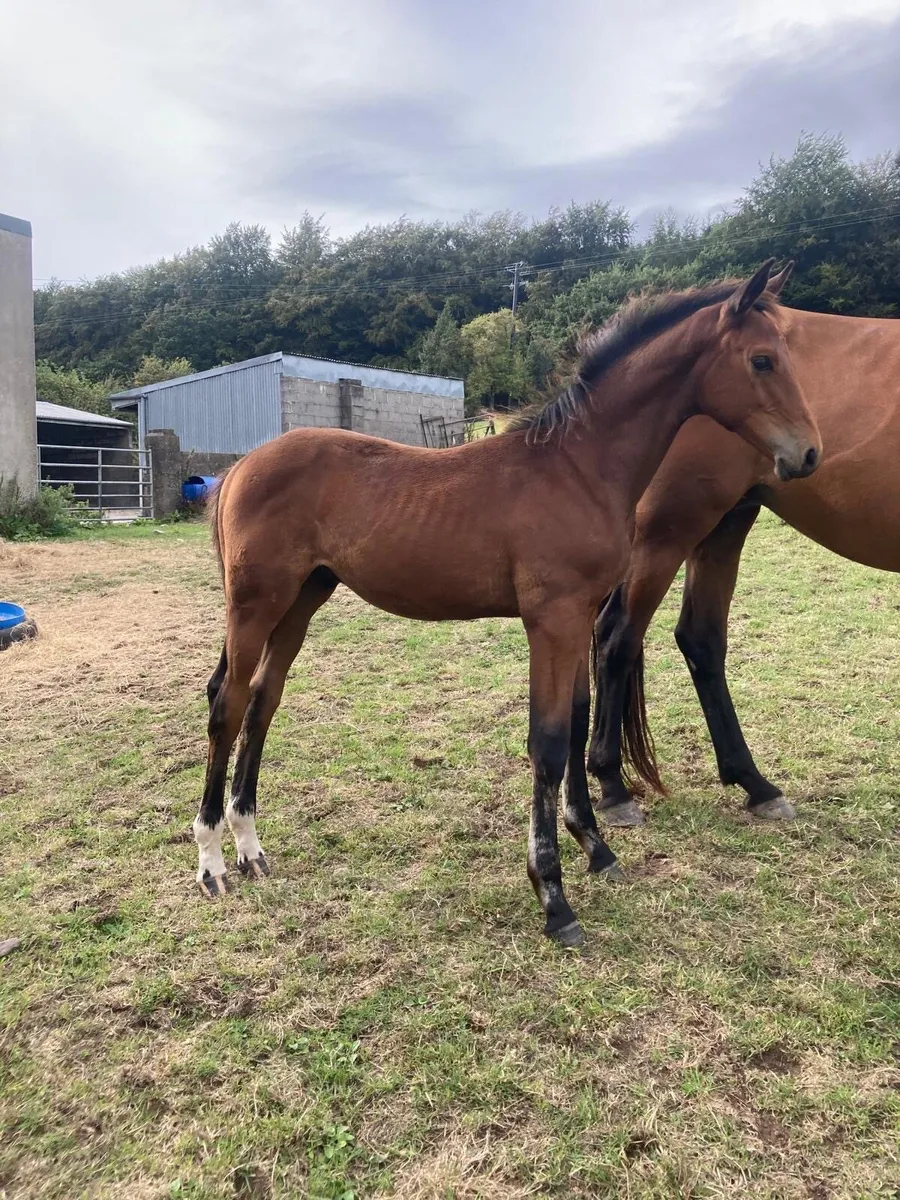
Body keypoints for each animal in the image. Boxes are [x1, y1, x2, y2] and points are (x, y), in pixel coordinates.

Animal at [193, 260, 821, 947]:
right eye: (762, 359)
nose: (808, 454)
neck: (577, 468)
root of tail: (239, 469)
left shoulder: (578, 617)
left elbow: (574, 721)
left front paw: (595, 848)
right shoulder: (551, 620)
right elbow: (547, 742)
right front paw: (553, 897)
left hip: (302, 599)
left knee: (262, 700)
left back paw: (250, 848)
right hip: (255, 603)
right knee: (227, 706)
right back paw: (212, 861)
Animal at [587, 263, 900, 826]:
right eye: (762, 360)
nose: (811, 452)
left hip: (724, 524)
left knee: (699, 639)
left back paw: (755, 784)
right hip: (669, 531)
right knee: (619, 634)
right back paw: (612, 787)